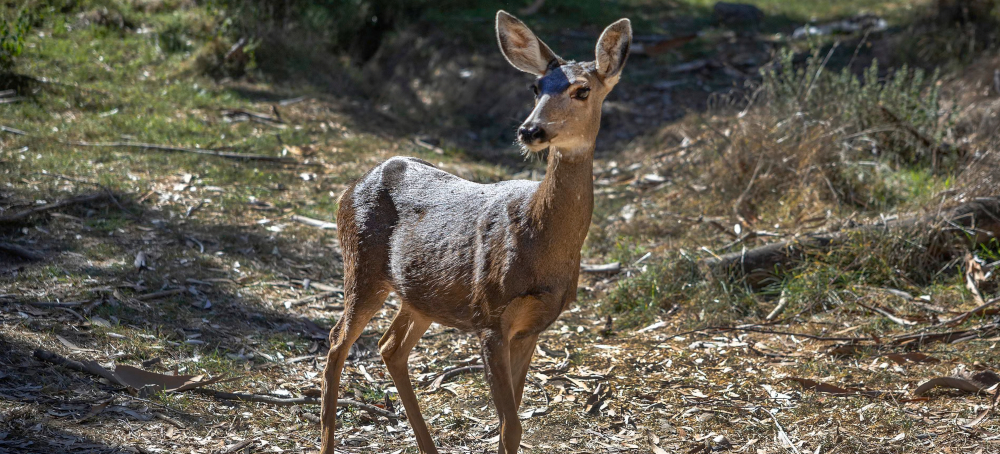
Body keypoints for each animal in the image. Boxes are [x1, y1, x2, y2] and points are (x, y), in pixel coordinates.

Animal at [320, 10, 631, 454]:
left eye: (582, 90)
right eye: (535, 87)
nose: (530, 131)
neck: (543, 246)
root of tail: (352, 186)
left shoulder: (532, 327)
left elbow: (510, 423)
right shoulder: (490, 316)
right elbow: (511, 424)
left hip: (421, 293)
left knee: (389, 346)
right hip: (361, 263)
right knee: (337, 341)